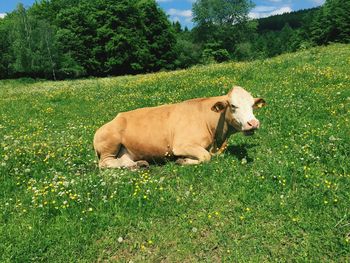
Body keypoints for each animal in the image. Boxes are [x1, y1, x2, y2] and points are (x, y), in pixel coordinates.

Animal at [93, 85, 266, 170]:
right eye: (233, 106)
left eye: (252, 105)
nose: (253, 123)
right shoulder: (182, 145)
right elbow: (205, 157)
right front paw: (182, 161)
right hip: (110, 144)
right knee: (105, 163)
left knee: (122, 160)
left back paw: (138, 164)